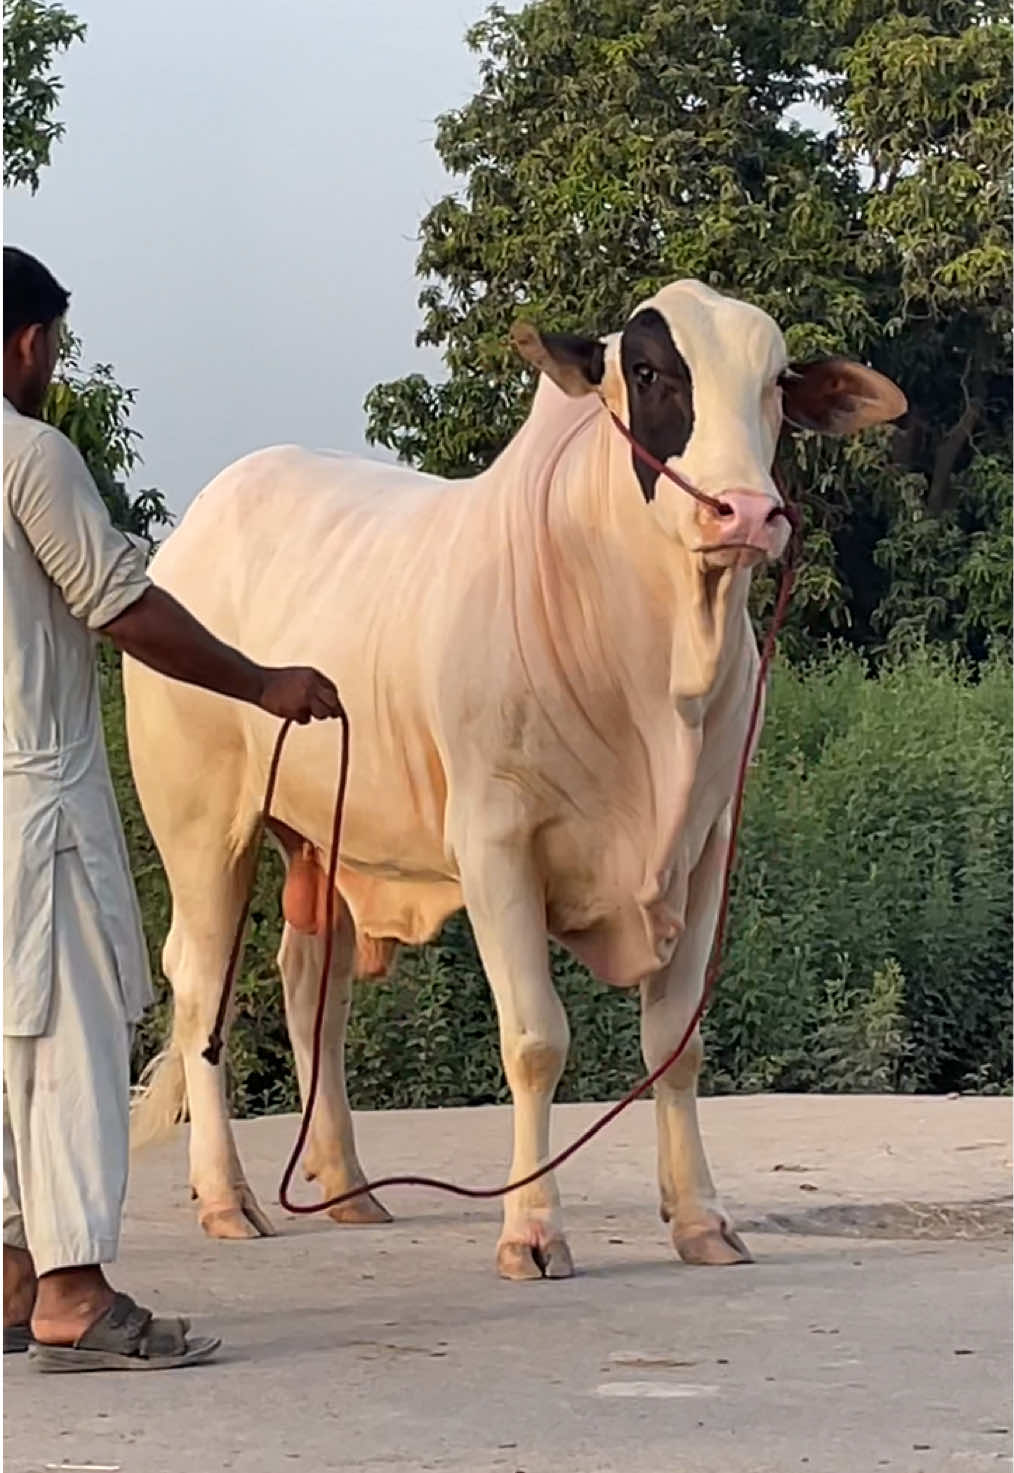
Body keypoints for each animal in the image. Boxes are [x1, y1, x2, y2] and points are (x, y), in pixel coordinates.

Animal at [126, 279, 905, 1278]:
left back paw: (346, 1184)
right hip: (201, 823)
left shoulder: (703, 849)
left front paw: (701, 1218)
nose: (745, 511)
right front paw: (533, 1228)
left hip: (321, 833)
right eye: (648, 370)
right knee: (199, 986)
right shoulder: (497, 843)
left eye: (774, 382)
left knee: (311, 987)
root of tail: (201, 521)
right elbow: (536, 1040)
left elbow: (676, 1043)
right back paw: (226, 1194)